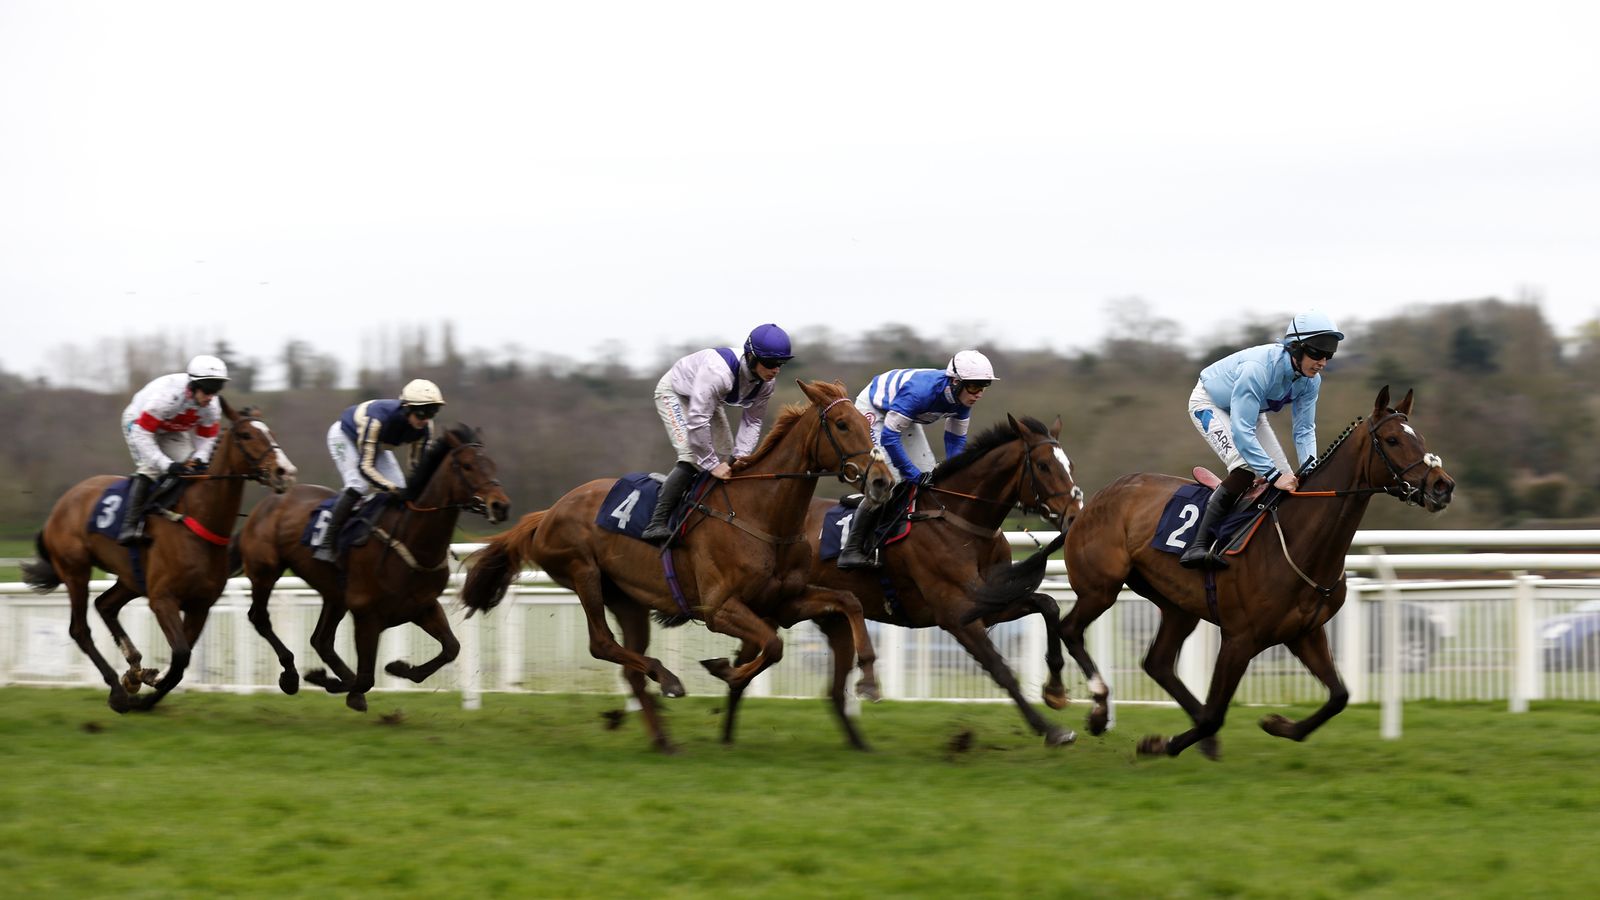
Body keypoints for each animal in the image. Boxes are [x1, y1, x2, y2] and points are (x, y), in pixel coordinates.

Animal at [21, 395, 297, 711]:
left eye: (271, 433)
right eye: (246, 435)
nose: (285, 472)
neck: (196, 521)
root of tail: (61, 505)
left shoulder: (200, 604)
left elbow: (182, 660)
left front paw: (148, 684)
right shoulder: (163, 600)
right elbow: (180, 657)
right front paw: (143, 694)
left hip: (130, 578)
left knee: (105, 605)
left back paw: (134, 669)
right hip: (75, 569)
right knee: (80, 629)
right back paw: (118, 691)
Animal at [232, 422, 512, 711]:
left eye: (492, 465)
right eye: (468, 465)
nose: (500, 505)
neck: (411, 540)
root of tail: (266, 504)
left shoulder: (422, 606)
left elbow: (451, 648)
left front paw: (399, 668)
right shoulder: (367, 614)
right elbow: (366, 677)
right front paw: (335, 684)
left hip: (335, 594)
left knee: (321, 640)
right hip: (265, 571)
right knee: (260, 618)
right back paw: (291, 675)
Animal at [460, 377, 902, 749]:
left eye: (867, 424)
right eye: (842, 425)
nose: (882, 480)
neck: (759, 514)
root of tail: (547, 513)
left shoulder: (784, 601)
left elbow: (849, 602)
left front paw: (868, 681)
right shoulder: (719, 609)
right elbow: (773, 646)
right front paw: (725, 670)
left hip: (628, 600)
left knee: (629, 665)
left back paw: (663, 737)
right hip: (583, 573)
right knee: (601, 643)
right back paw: (668, 679)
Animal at [723, 413, 1088, 743]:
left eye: (1069, 464)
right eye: (1043, 466)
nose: (1075, 517)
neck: (958, 519)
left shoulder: (987, 602)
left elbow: (1048, 605)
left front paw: (1056, 691)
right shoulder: (956, 614)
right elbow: (1002, 670)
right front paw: (1051, 730)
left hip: (826, 616)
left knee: (832, 690)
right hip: (765, 606)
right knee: (749, 661)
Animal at [1056, 381, 1459, 752]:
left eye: (1420, 438)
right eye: (1392, 440)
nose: (1443, 486)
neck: (1297, 540)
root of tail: (1092, 501)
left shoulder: (1305, 633)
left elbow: (1339, 696)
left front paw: (1278, 724)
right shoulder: (1239, 638)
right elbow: (1215, 713)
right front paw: (1160, 744)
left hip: (1177, 605)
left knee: (1157, 662)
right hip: (1101, 588)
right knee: (1070, 630)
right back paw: (1097, 708)